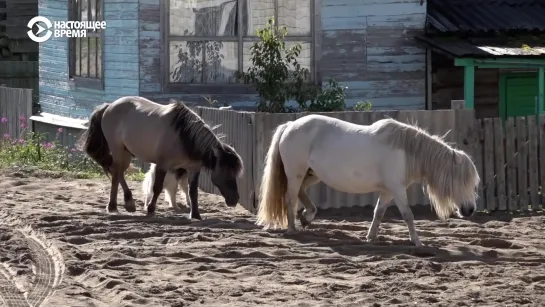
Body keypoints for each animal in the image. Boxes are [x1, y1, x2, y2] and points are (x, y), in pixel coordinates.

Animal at [258, 115, 478, 248]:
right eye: (462, 181)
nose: (470, 210)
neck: (407, 152)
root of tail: (290, 125)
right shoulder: (397, 190)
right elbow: (408, 215)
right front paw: (417, 242)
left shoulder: (388, 192)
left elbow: (378, 213)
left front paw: (370, 237)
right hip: (295, 173)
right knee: (290, 198)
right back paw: (292, 229)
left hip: (311, 174)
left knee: (300, 193)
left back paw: (307, 216)